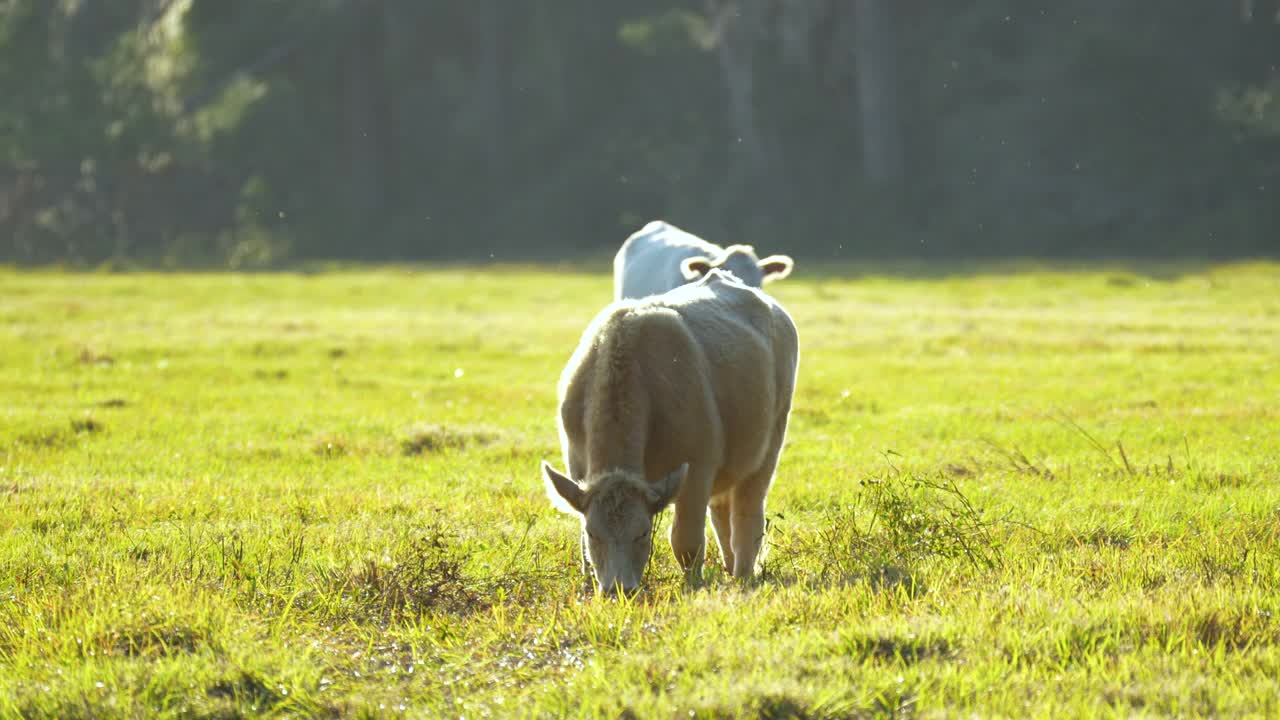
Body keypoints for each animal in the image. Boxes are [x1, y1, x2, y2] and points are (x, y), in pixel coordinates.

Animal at [540, 266, 798, 591]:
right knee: (722, 514)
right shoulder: (577, 466)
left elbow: (686, 542)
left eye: (642, 533)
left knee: (747, 515)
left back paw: (742, 575)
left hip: (769, 444)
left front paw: (693, 585)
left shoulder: (697, 471)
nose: (618, 588)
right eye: (593, 533)